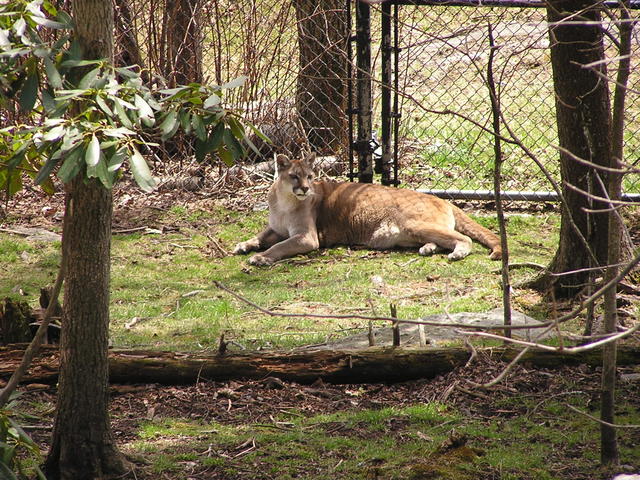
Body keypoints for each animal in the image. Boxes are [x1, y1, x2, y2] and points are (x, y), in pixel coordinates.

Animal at [232, 154, 502, 266]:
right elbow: (260, 236)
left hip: (415, 224)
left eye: (309, 176)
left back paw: (457, 253)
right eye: (294, 176)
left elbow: (279, 246)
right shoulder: (275, 227)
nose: (306, 189)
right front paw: (244, 245)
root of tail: (443, 199)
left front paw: (261, 258)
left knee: (464, 238)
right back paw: (428, 248)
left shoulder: (307, 237)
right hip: (411, 231)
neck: (285, 201)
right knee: (440, 239)